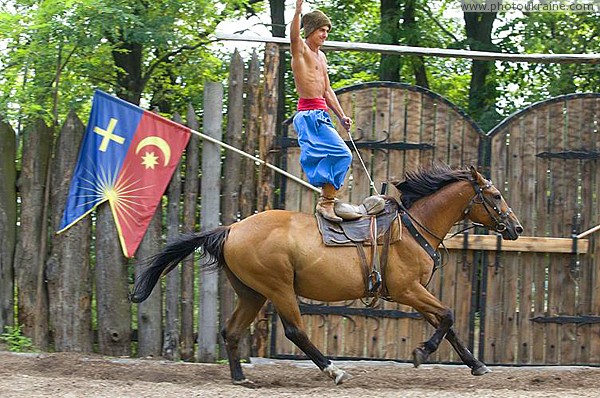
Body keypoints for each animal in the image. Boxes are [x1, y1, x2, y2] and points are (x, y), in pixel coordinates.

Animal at [130, 163, 520, 384]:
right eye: (496, 195)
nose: (515, 228)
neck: (413, 227)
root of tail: (231, 229)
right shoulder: (408, 290)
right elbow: (449, 316)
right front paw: (422, 352)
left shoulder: (414, 293)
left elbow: (447, 323)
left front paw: (475, 364)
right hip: (278, 288)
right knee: (295, 331)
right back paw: (334, 370)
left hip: (252, 292)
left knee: (232, 331)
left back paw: (241, 378)